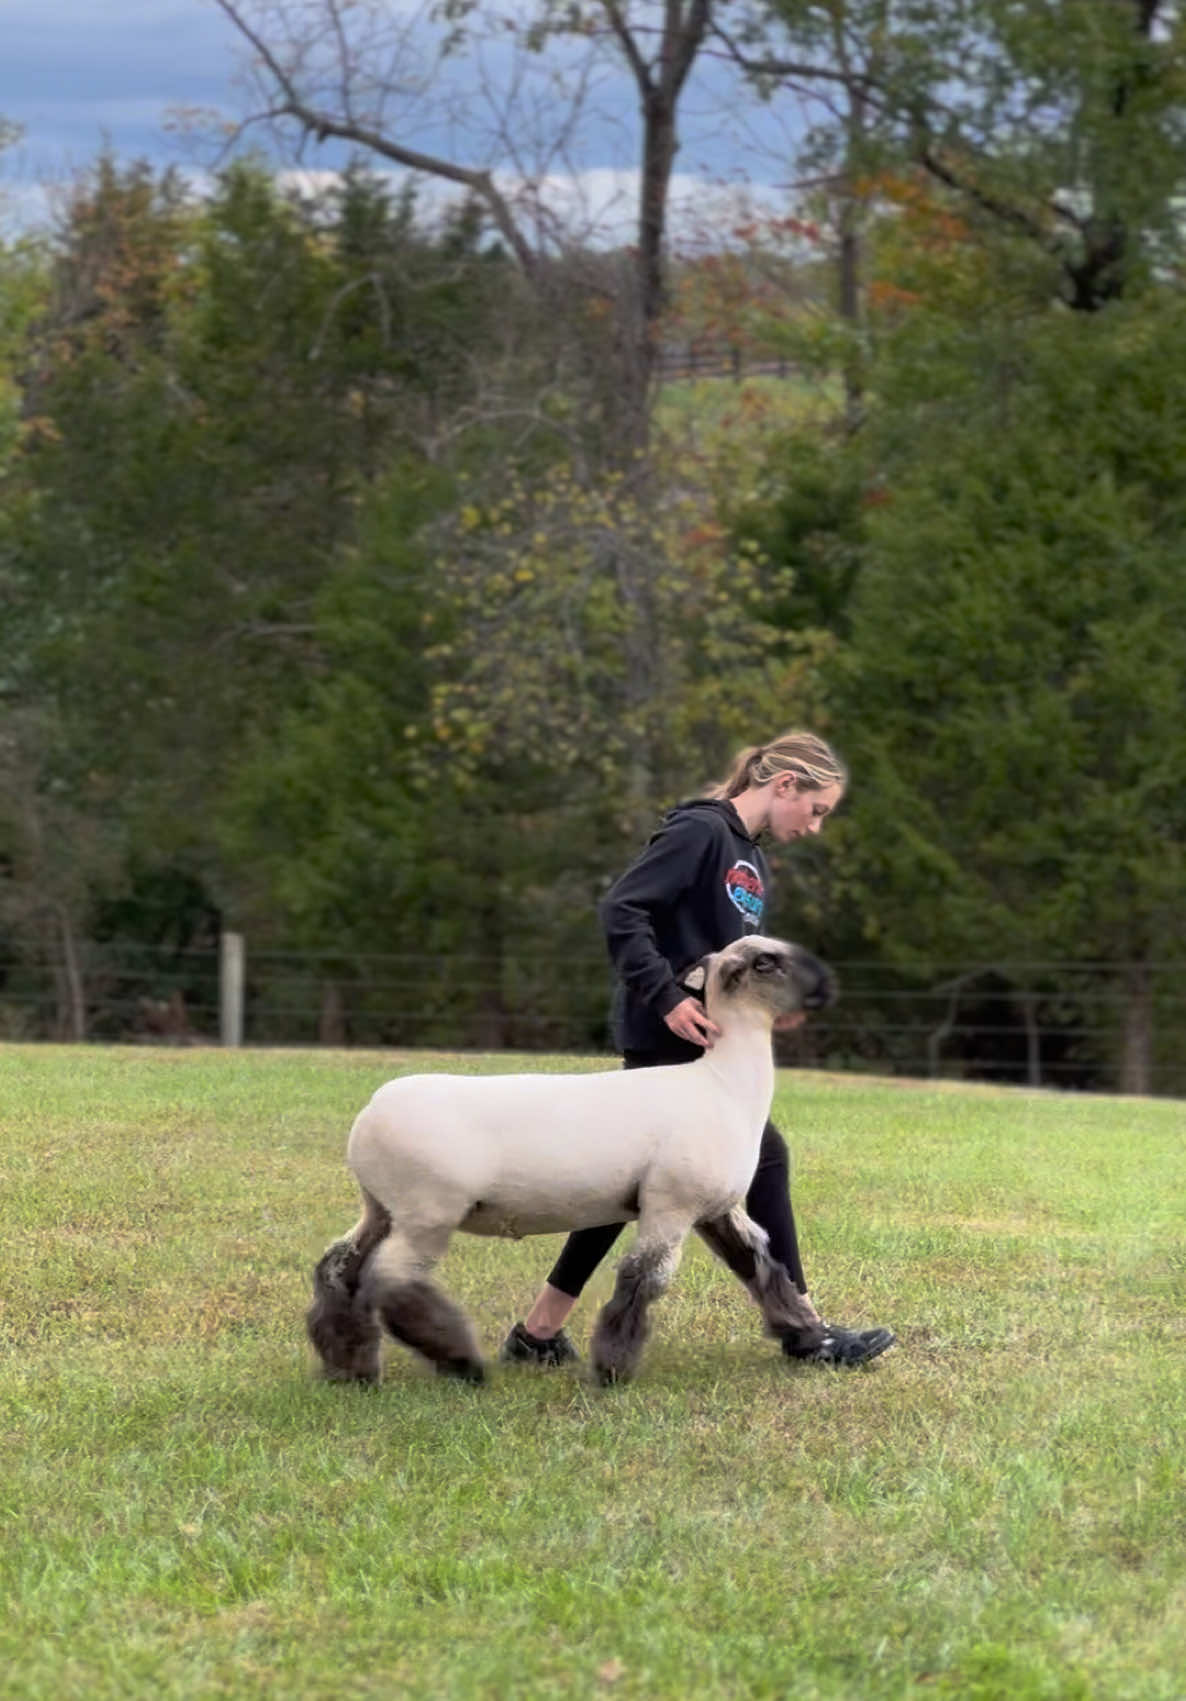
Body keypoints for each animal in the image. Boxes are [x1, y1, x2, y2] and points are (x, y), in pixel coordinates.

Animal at [304, 938, 833, 1388]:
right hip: (428, 1209)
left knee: (339, 1268)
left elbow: (761, 1266)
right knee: (393, 1281)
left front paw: (806, 1330)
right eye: (765, 961)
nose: (827, 986)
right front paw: (613, 1371)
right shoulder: (671, 1204)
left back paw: (348, 1365)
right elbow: (641, 1280)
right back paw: (459, 1360)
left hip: (382, 1206)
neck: (725, 1084)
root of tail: (369, 1114)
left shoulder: (714, 1209)